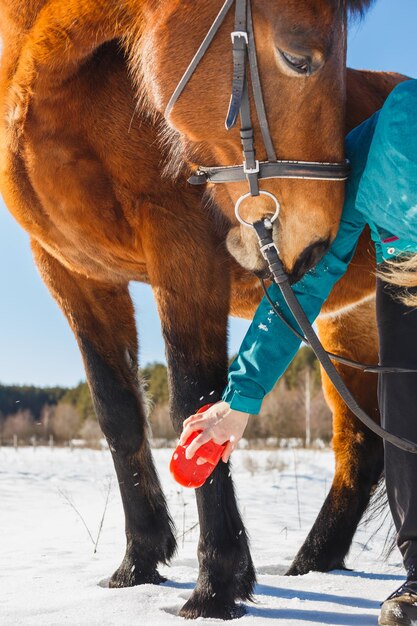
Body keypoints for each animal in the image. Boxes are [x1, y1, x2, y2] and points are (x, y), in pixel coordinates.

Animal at [0, 0, 402, 616]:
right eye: (298, 58)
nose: (315, 245)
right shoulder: (73, 271)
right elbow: (118, 412)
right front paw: (137, 565)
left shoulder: (183, 249)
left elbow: (196, 401)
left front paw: (216, 587)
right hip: (344, 326)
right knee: (360, 449)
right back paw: (311, 565)